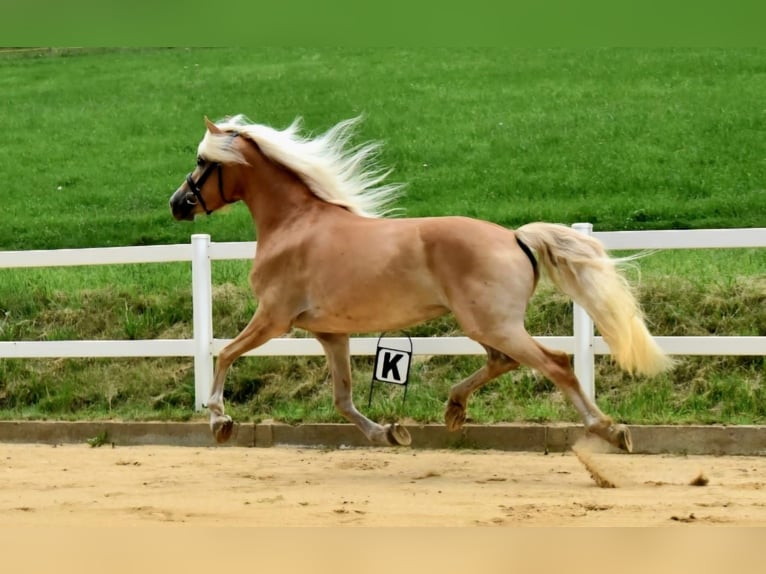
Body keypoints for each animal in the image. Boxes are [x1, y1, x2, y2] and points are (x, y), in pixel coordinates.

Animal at [170, 113, 672, 454]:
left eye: (200, 161)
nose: (177, 203)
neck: (295, 224)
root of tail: (515, 236)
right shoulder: (330, 332)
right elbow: (342, 398)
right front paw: (389, 432)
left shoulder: (273, 318)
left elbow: (225, 353)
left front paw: (219, 420)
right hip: (484, 325)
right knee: (504, 361)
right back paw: (453, 408)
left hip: (493, 324)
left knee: (556, 363)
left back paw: (611, 430)